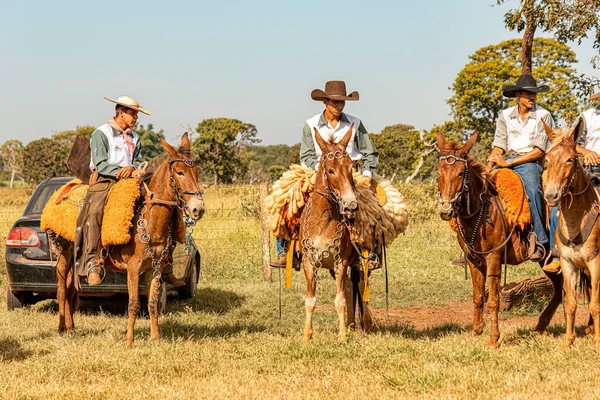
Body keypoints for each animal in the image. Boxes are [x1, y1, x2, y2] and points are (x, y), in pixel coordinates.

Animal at [54, 134, 204, 344]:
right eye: (180, 172)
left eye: (196, 172)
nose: (198, 208)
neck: (150, 219)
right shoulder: (133, 267)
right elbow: (133, 303)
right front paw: (129, 340)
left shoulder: (155, 266)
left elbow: (152, 302)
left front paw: (155, 337)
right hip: (63, 254)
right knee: (61, 291)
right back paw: (61, 328)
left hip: (74, 262)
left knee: (69, 290)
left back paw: (70, 327)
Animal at [296, 124, 370, 340]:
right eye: (330, 170)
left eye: (351, 167)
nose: (351, 204)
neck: (322, 221)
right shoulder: (309, 263)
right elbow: (310, 301)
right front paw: (306, 336)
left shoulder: (341, 262)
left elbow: (340, 300)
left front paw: (342, 336)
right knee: (349, 287)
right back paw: (352, 325)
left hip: (356, 264)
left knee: (358, 288)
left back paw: (361, 325)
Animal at [436, 133, 564, 346]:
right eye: (438, 172)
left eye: (461, 173)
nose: (446, 210)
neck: (483, 212)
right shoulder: (474, 261)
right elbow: (478, 296)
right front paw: (475, 331)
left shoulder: (494, 258)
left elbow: (493, 299)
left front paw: (493, 339)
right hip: (550, 262)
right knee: (561, 289)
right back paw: (541, 326)